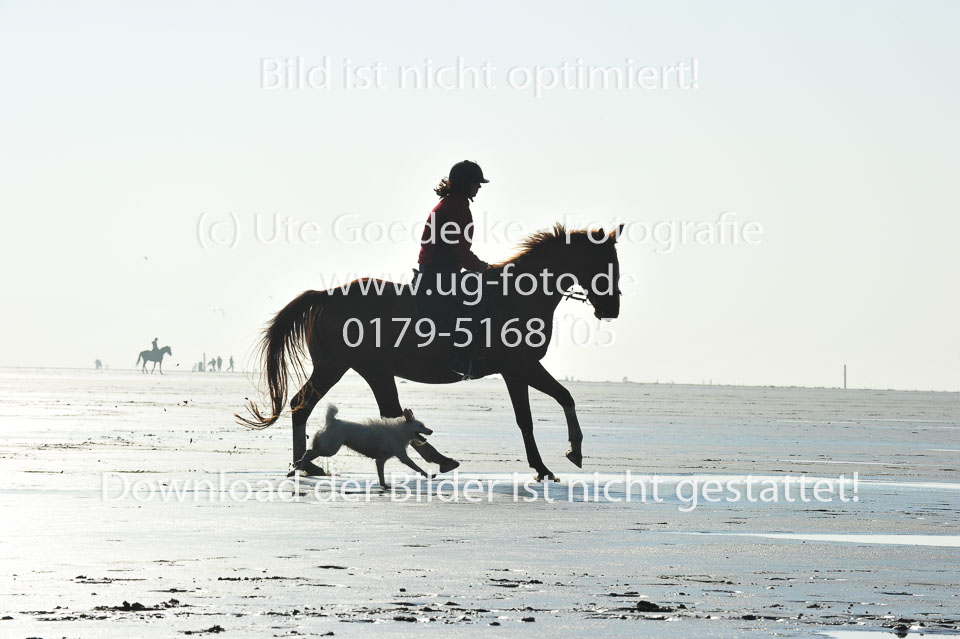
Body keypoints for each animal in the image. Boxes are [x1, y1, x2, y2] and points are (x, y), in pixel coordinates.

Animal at [236, 225, 620, 480]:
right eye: (607, 263)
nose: (611, 309)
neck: (520, 294)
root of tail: (325, 295)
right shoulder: (522, 365)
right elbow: (565, 396)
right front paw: (574, 450)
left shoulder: (515, 371)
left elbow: (526, 418)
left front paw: (541, 467)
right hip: (355, 366)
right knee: (336, 407)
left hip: (348, 367)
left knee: (307, 405)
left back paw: (306, 463)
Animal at [288, 408, 432, 488]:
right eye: (421, 426)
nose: (431, 431)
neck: (401, 431)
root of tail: (331, 421)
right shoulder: (403, 456)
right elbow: (416, 466)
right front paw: (428, 475)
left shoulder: (380, 460)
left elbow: (381, 475)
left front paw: (384, 485)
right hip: (329, 449)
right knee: (309, 452)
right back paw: (298, 466)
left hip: (326, 447)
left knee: (309, 453)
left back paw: (296, 466)